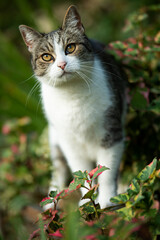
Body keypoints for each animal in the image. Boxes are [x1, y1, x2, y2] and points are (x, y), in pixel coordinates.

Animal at [19, 5, 126, 208]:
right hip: (54, 137)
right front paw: (89, 201)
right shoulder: (69, 143)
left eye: (70, 48)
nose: (62, 64)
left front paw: (107, 200)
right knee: (58, 168)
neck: (72, 96)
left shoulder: (111, 131)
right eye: (47, 57)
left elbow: (106, 171)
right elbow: (80, 174)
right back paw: (50, 202)